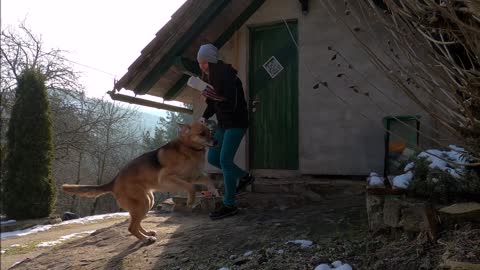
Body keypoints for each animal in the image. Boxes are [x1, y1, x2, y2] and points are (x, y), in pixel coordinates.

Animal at [63, 121, 219, 244]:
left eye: (210, 132)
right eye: (202, 133)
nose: (217, 142)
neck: (189, 148)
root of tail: (114, 182)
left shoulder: (194, 176)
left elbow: (207, 179)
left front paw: (215, 192)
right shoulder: (168, 178)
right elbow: (190, 187)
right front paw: (191, 200)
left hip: (148, 201)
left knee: (136, 224)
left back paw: (147, 234)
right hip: (143, 202)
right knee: (131, 227)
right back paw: (145, 239)